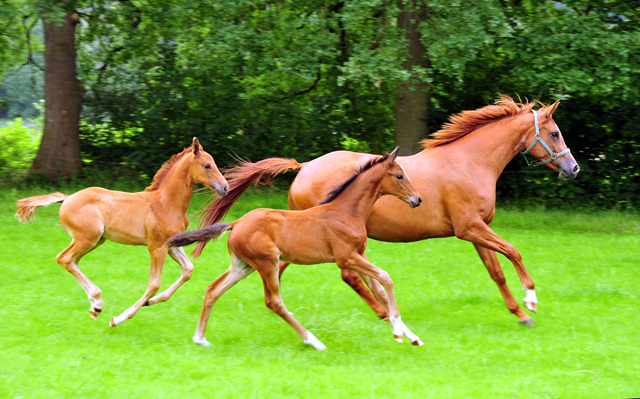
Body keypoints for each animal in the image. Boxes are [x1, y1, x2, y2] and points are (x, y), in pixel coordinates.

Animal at [15, 138, 231, 328]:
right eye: (207, 165)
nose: (225, 187)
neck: (165, 203)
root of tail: (67, 198)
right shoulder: (156, 247)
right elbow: (154, 284)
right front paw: (119, 319)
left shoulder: (171, 245)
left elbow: (188, 270)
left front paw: (151, 302)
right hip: (88, 239)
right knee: (65, 258)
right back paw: (98, 303)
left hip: (93, 240)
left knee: (69, 260)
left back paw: (95, 306)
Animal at [168, 148, 422, 352]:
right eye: (399, 175)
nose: (418, 199)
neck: (346, 211)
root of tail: (236, 223)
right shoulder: (347, 258)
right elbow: (385, 278)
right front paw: (398, 332)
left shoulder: (358, 255)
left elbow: (379, 289)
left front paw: (412, 337)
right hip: (267, 262)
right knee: (274, 302)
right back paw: (314, 341)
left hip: (243, 266)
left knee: (213, 289)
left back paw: (200, 338)